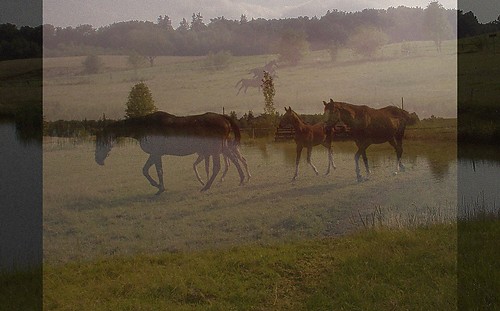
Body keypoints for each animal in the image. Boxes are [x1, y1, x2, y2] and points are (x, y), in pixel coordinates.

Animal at [94, 112, 245, 195]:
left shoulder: (156, 154)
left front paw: (159, 187)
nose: (97, 160)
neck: (145, 126)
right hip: (222, 148)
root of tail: (223, 118)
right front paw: (158, 186)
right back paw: (242, 179)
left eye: (100, 142)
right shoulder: (155, 154)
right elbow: (146, 170)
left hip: (215, 149)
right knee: (234, 160)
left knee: (218, 167)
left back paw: (206, 187)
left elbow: (157, 171)